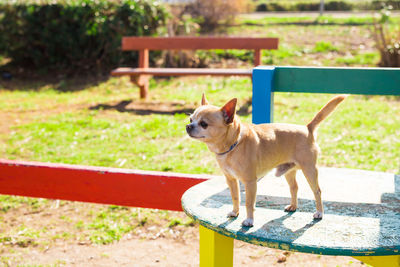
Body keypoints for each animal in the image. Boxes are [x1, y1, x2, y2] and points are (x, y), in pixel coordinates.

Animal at [186, 93, 346, 227]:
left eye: (204, 124)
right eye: (190, 119)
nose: (188, 126)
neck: (233, 145)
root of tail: (307, 128)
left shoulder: (250, 182)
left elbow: (249, 203)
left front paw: (249, 220)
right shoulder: (231, 180)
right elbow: (235, 197)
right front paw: (235, 212)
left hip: (310, 170)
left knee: (317, 191)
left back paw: (319, 212)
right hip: (289, 171)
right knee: (294, 187)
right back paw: (293, 206)